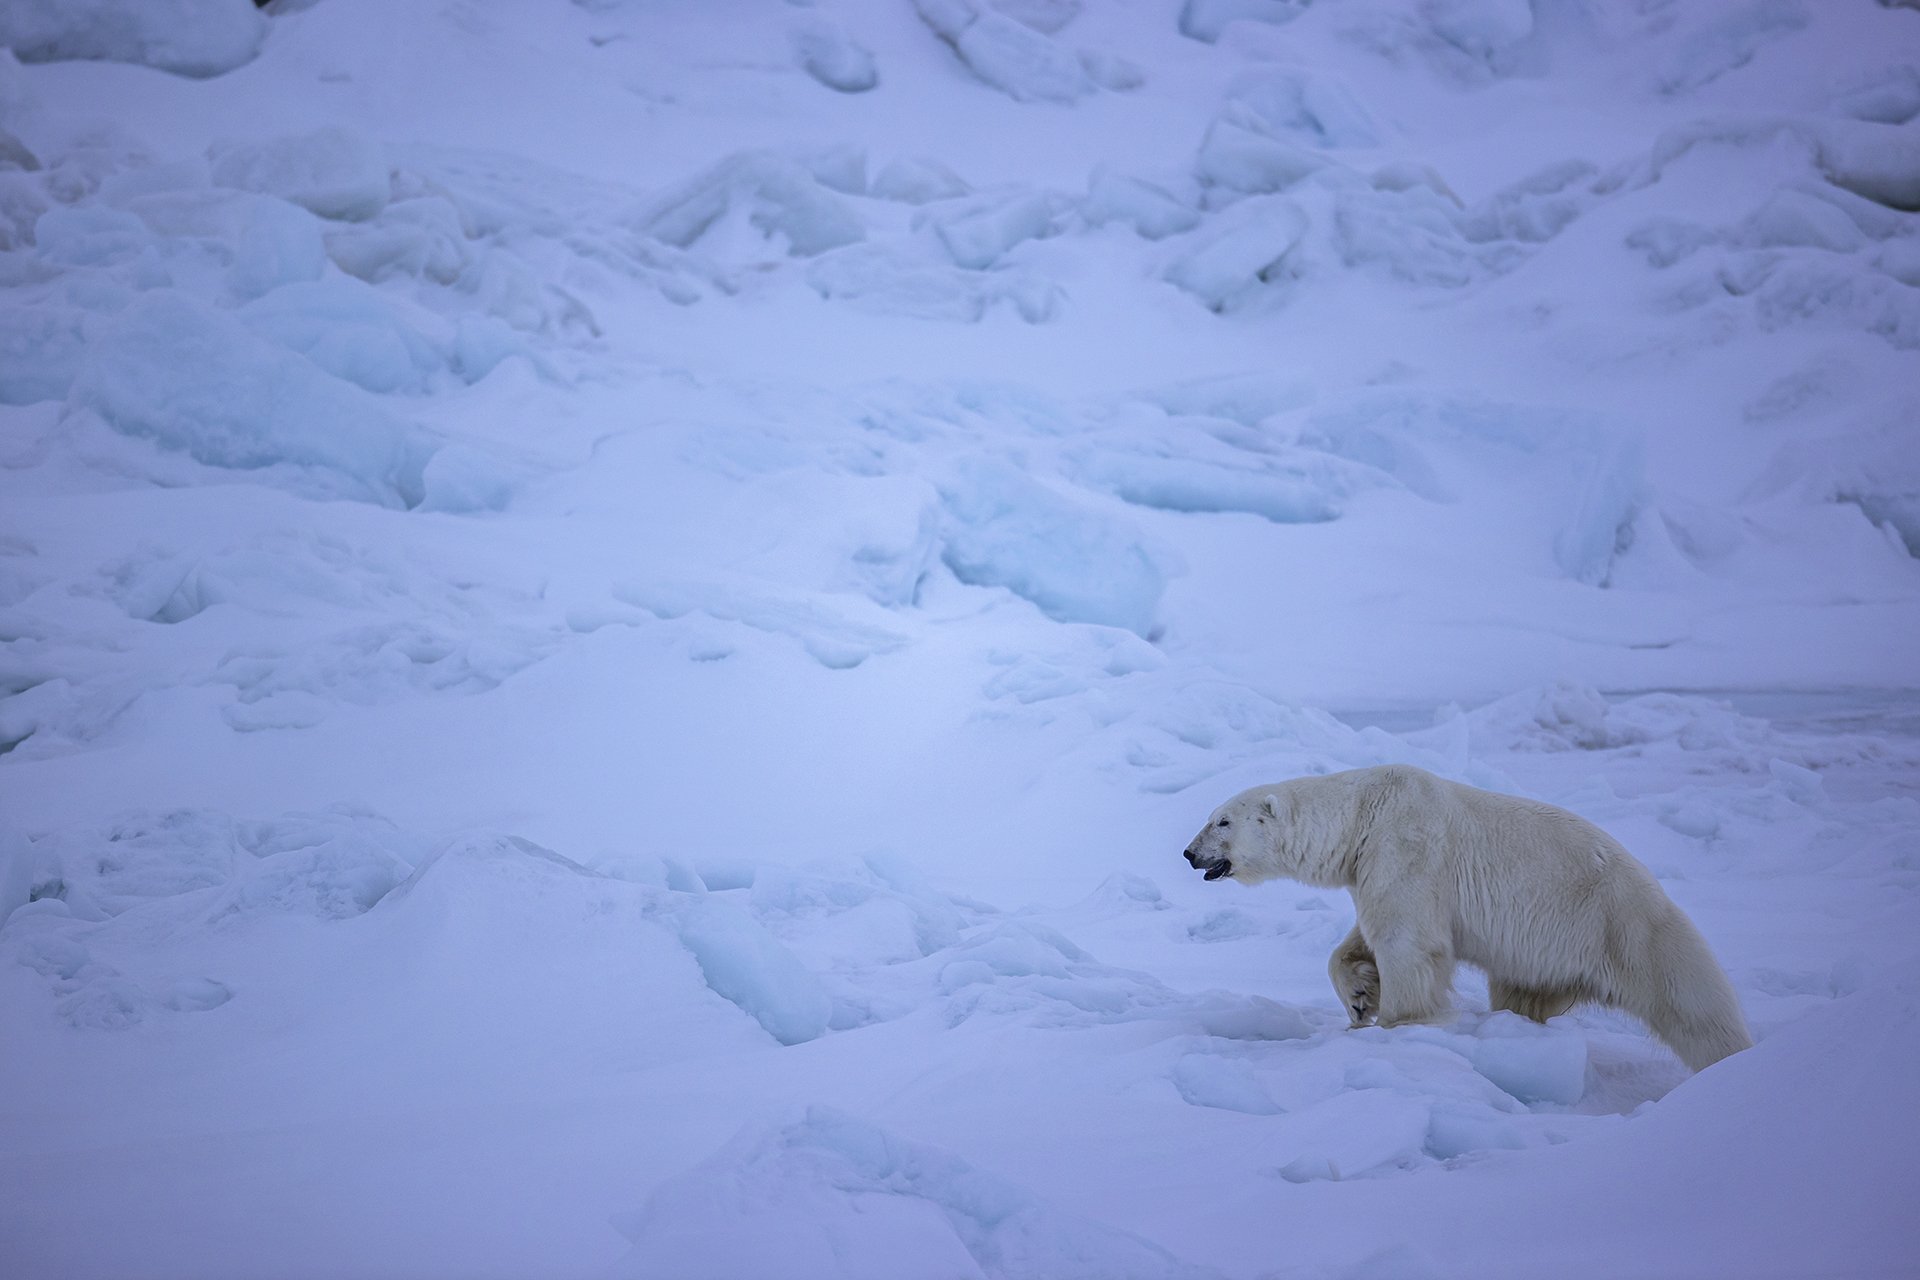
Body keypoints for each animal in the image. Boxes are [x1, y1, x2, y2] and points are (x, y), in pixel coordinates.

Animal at [1175, 767, 1751, 1074]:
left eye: (1221, 821)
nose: (1188, 853)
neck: (1363, 813)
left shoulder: (1406, 847)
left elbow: (1406, 942)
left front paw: (1398, 1023)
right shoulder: (1373, 866)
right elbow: (1361, 941)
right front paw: (1360, 996)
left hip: (1628, 927)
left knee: (1697, 1008)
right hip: (1548, 958)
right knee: (1521, 991)